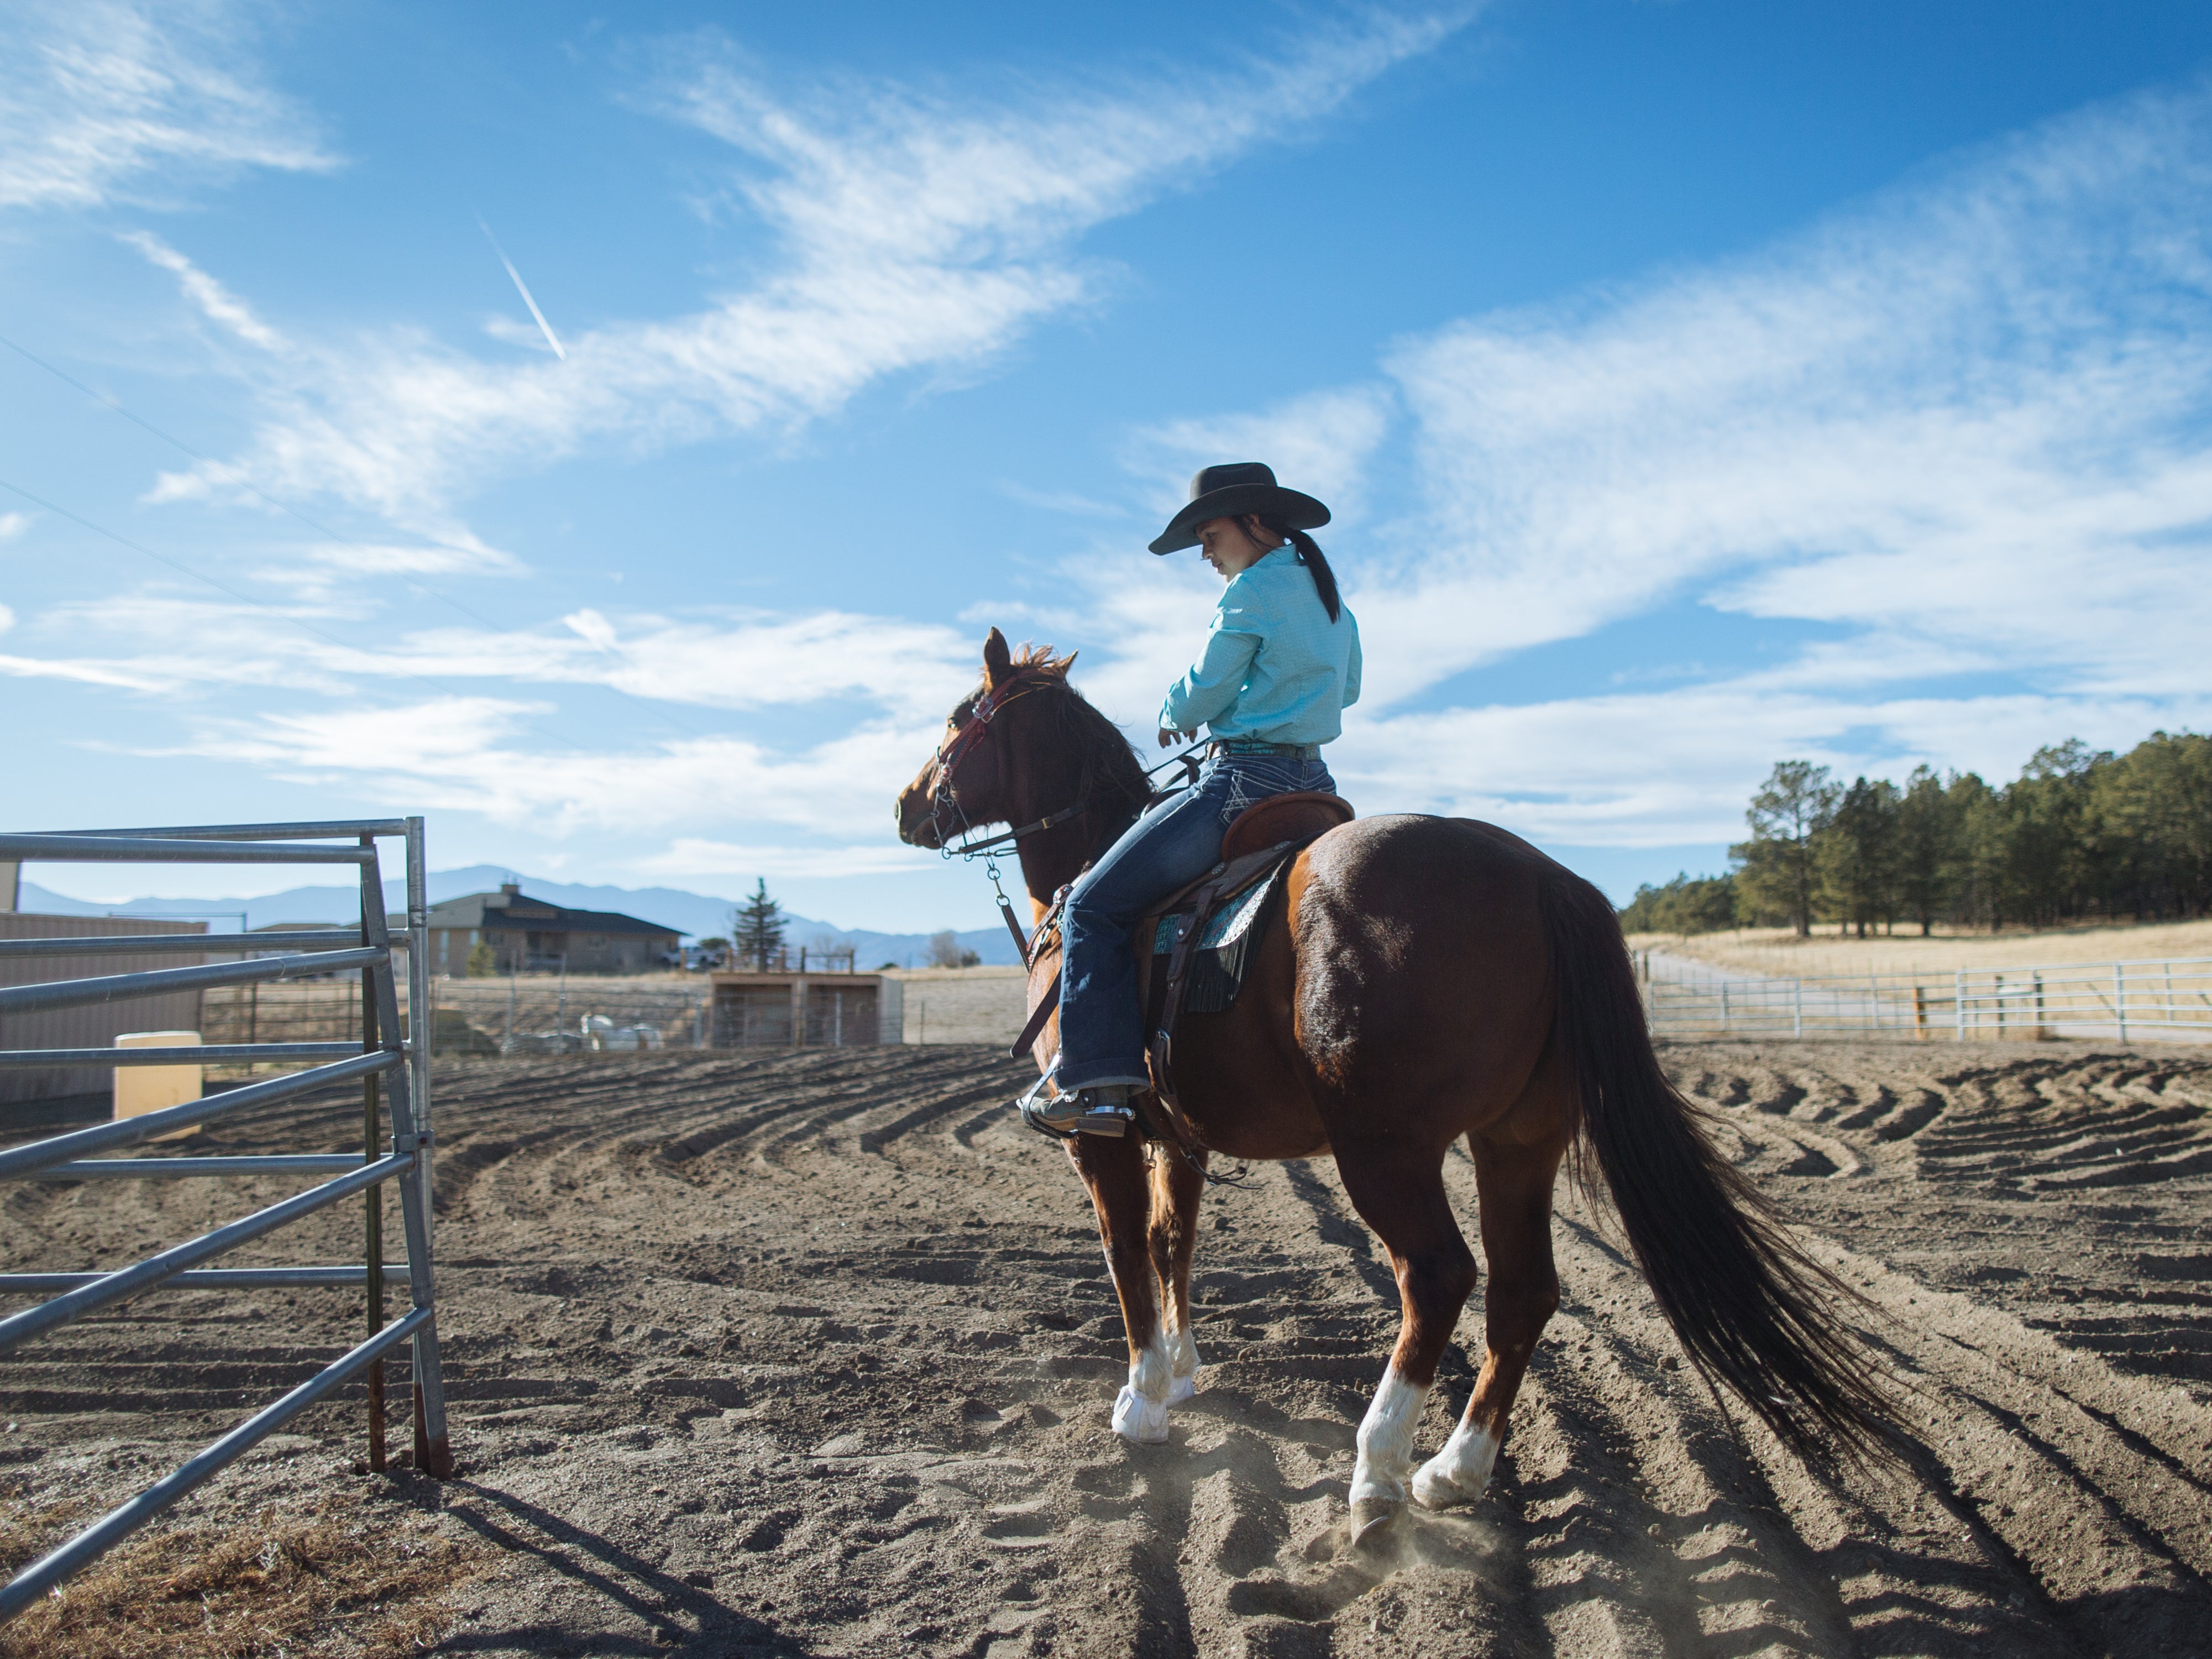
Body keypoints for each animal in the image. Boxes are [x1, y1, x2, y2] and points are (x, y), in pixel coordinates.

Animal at [889, 628, 1893, 1539]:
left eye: (958, 720)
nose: (904, 805)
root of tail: (1543, 879)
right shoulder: (1178, 1135)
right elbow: (1175, 1241)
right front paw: (1181, 1369)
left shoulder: (1099, 1136)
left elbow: (1126, 1251)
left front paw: (1140, 1402)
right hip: (1517, 1140)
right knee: (1524, 1290)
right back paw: (1453, 1468)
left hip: (1384, 1149)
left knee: (1439, 1276)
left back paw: (1376, 1467)